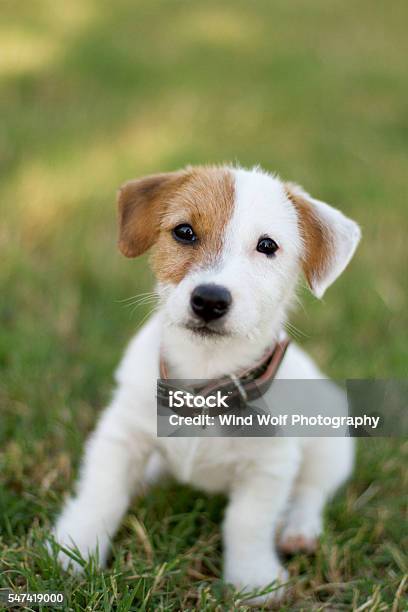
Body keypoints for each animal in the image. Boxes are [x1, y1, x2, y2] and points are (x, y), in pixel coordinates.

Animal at [53, 165, 360, 604]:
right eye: (184, 232)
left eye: (267, 246)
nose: (210, 300)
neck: (204, 380)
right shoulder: (122, 435)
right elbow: (102, 494)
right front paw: (76, 549)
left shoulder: (268, 466)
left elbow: (247, 523)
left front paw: (253, 580)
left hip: (331, 448)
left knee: (310, 492)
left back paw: (298, 530)